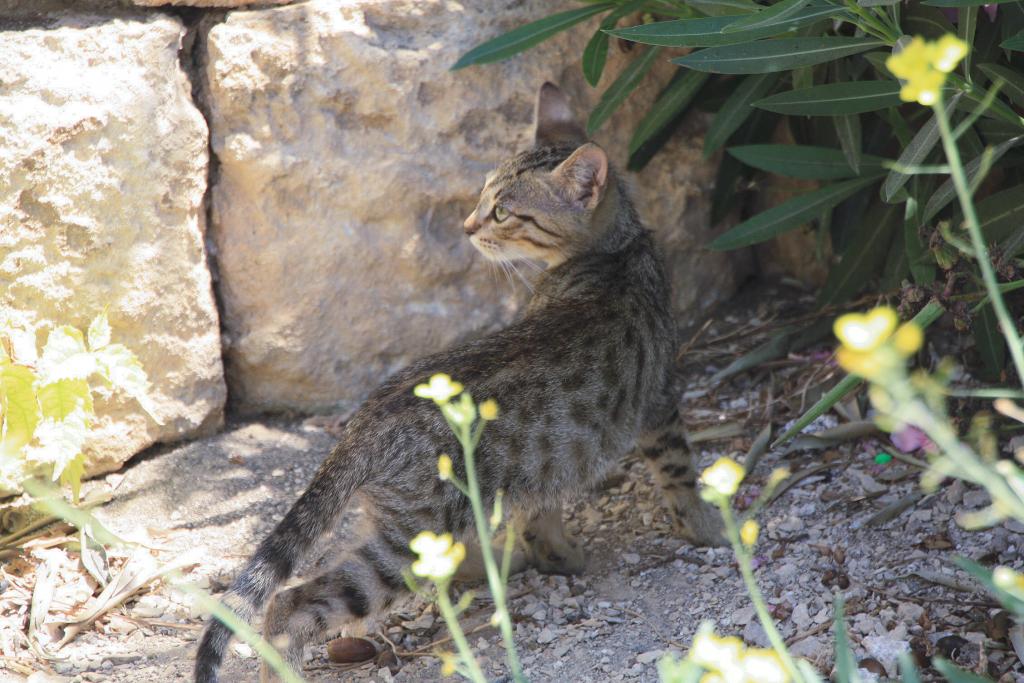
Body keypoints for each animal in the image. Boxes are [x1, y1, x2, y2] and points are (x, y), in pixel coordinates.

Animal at [192, 81, 720, 683]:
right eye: (484, 200)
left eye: (503, 211)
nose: (468, 227)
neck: (614, 252)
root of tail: (365, 424)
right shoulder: (660, 400)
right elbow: (679, 472)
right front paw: (707, 528)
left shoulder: (548, 468)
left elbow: (541, 514)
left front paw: (557, 555)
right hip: (407, 546)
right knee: (292, 601)